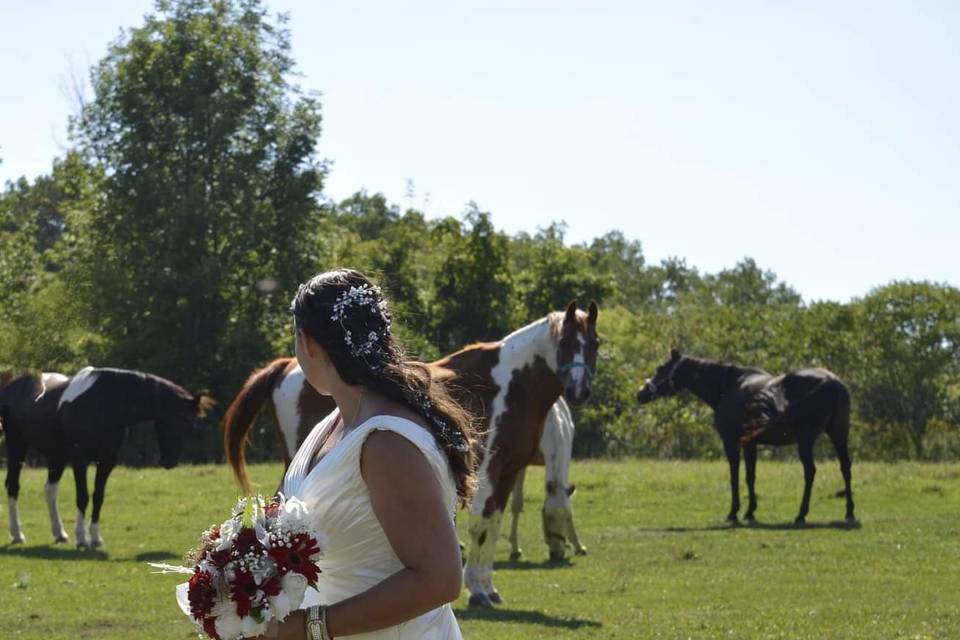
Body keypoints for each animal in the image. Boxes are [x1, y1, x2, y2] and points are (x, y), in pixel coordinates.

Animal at [0, 368, 214, 548]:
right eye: (181, 421)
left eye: (192, 426)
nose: (169, 462)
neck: (104, 404)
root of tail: (11, 388)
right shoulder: (80, 460)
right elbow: (83, 497)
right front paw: (82, 538)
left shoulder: (107, 462)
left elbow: (98, 497)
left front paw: (96, 538)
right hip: (17, 447)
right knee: (13, 486)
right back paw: (17, 534)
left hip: (56, 457)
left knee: (50, 490)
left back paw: (59, 533)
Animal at [636, 350, 856, 524]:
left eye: (661, 368)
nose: (641, 393)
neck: (726, 387)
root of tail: (833, 383)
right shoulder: (750, 444)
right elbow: (750, 477)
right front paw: (750, 512)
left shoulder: (731, 443)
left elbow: (734, 476)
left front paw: (733, 512)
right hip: (839, 435)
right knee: (845, 468)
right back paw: (849, 512)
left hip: (806, 440)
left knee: (810, 472)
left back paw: (801, 514)